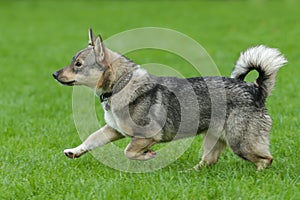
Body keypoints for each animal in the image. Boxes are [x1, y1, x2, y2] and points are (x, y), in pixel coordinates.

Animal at [52, 28, 288, 170]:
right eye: (73, 61)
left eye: (78, 64)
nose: (54, 74)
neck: (120, 84)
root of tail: (256, 90)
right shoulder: (113, 130)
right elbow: (91, 139)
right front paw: (74, 151)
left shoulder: (146, 136)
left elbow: (129, 151)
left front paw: (148, 156)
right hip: (214, 138)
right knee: (209, 161)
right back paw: (191, 172)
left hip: (240, 143)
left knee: (266, 159)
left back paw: (257, 175)